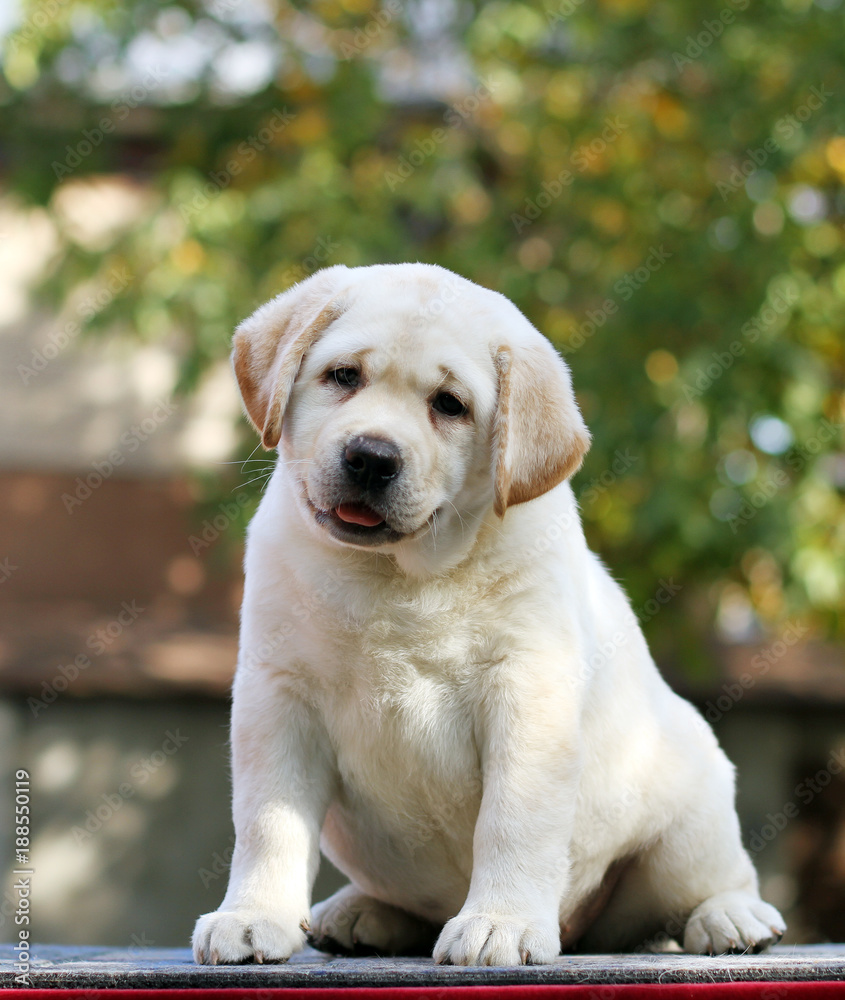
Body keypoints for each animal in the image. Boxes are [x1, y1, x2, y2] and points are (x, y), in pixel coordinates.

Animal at [191, 262, 784, 964]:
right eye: (344, 376)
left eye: (450, 405)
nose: (371, 456)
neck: (396, 576)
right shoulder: (278, 694)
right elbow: (269, 821)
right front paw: (252, 915)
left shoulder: (528, 694)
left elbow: (512, 820)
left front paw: (501, 923)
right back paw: (362, 911)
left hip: (689, 812)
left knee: (707, 881)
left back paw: (731, 917)